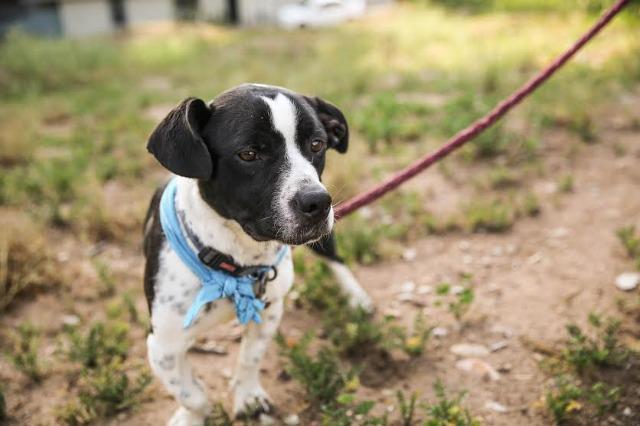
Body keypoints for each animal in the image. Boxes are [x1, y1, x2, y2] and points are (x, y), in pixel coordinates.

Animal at [142, 84, 372, 426]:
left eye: (317, 144)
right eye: (249, 154)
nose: (318, 201)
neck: (236, 260)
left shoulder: (270, 311)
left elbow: (250, 358)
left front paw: (248, 396)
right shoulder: (163, 346)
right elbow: (191, 393)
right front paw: (191, 416)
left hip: (323, 236)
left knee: (335, 259)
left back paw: (356, 297)